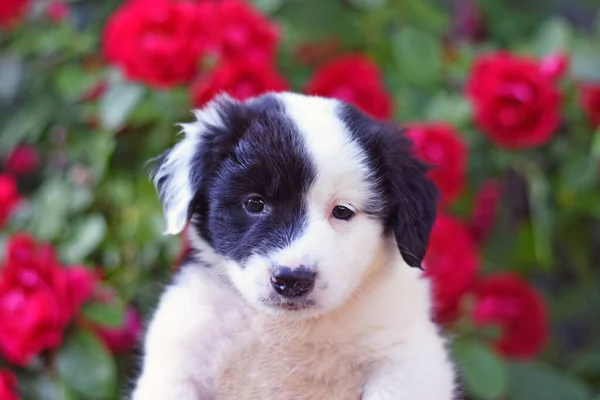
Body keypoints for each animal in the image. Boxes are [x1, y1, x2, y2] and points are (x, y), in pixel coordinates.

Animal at [130, 91, 454, 400]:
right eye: (254, 204)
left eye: (342, 211)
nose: (292, 279)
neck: (284, 328)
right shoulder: (180, 363)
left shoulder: (405, 360)